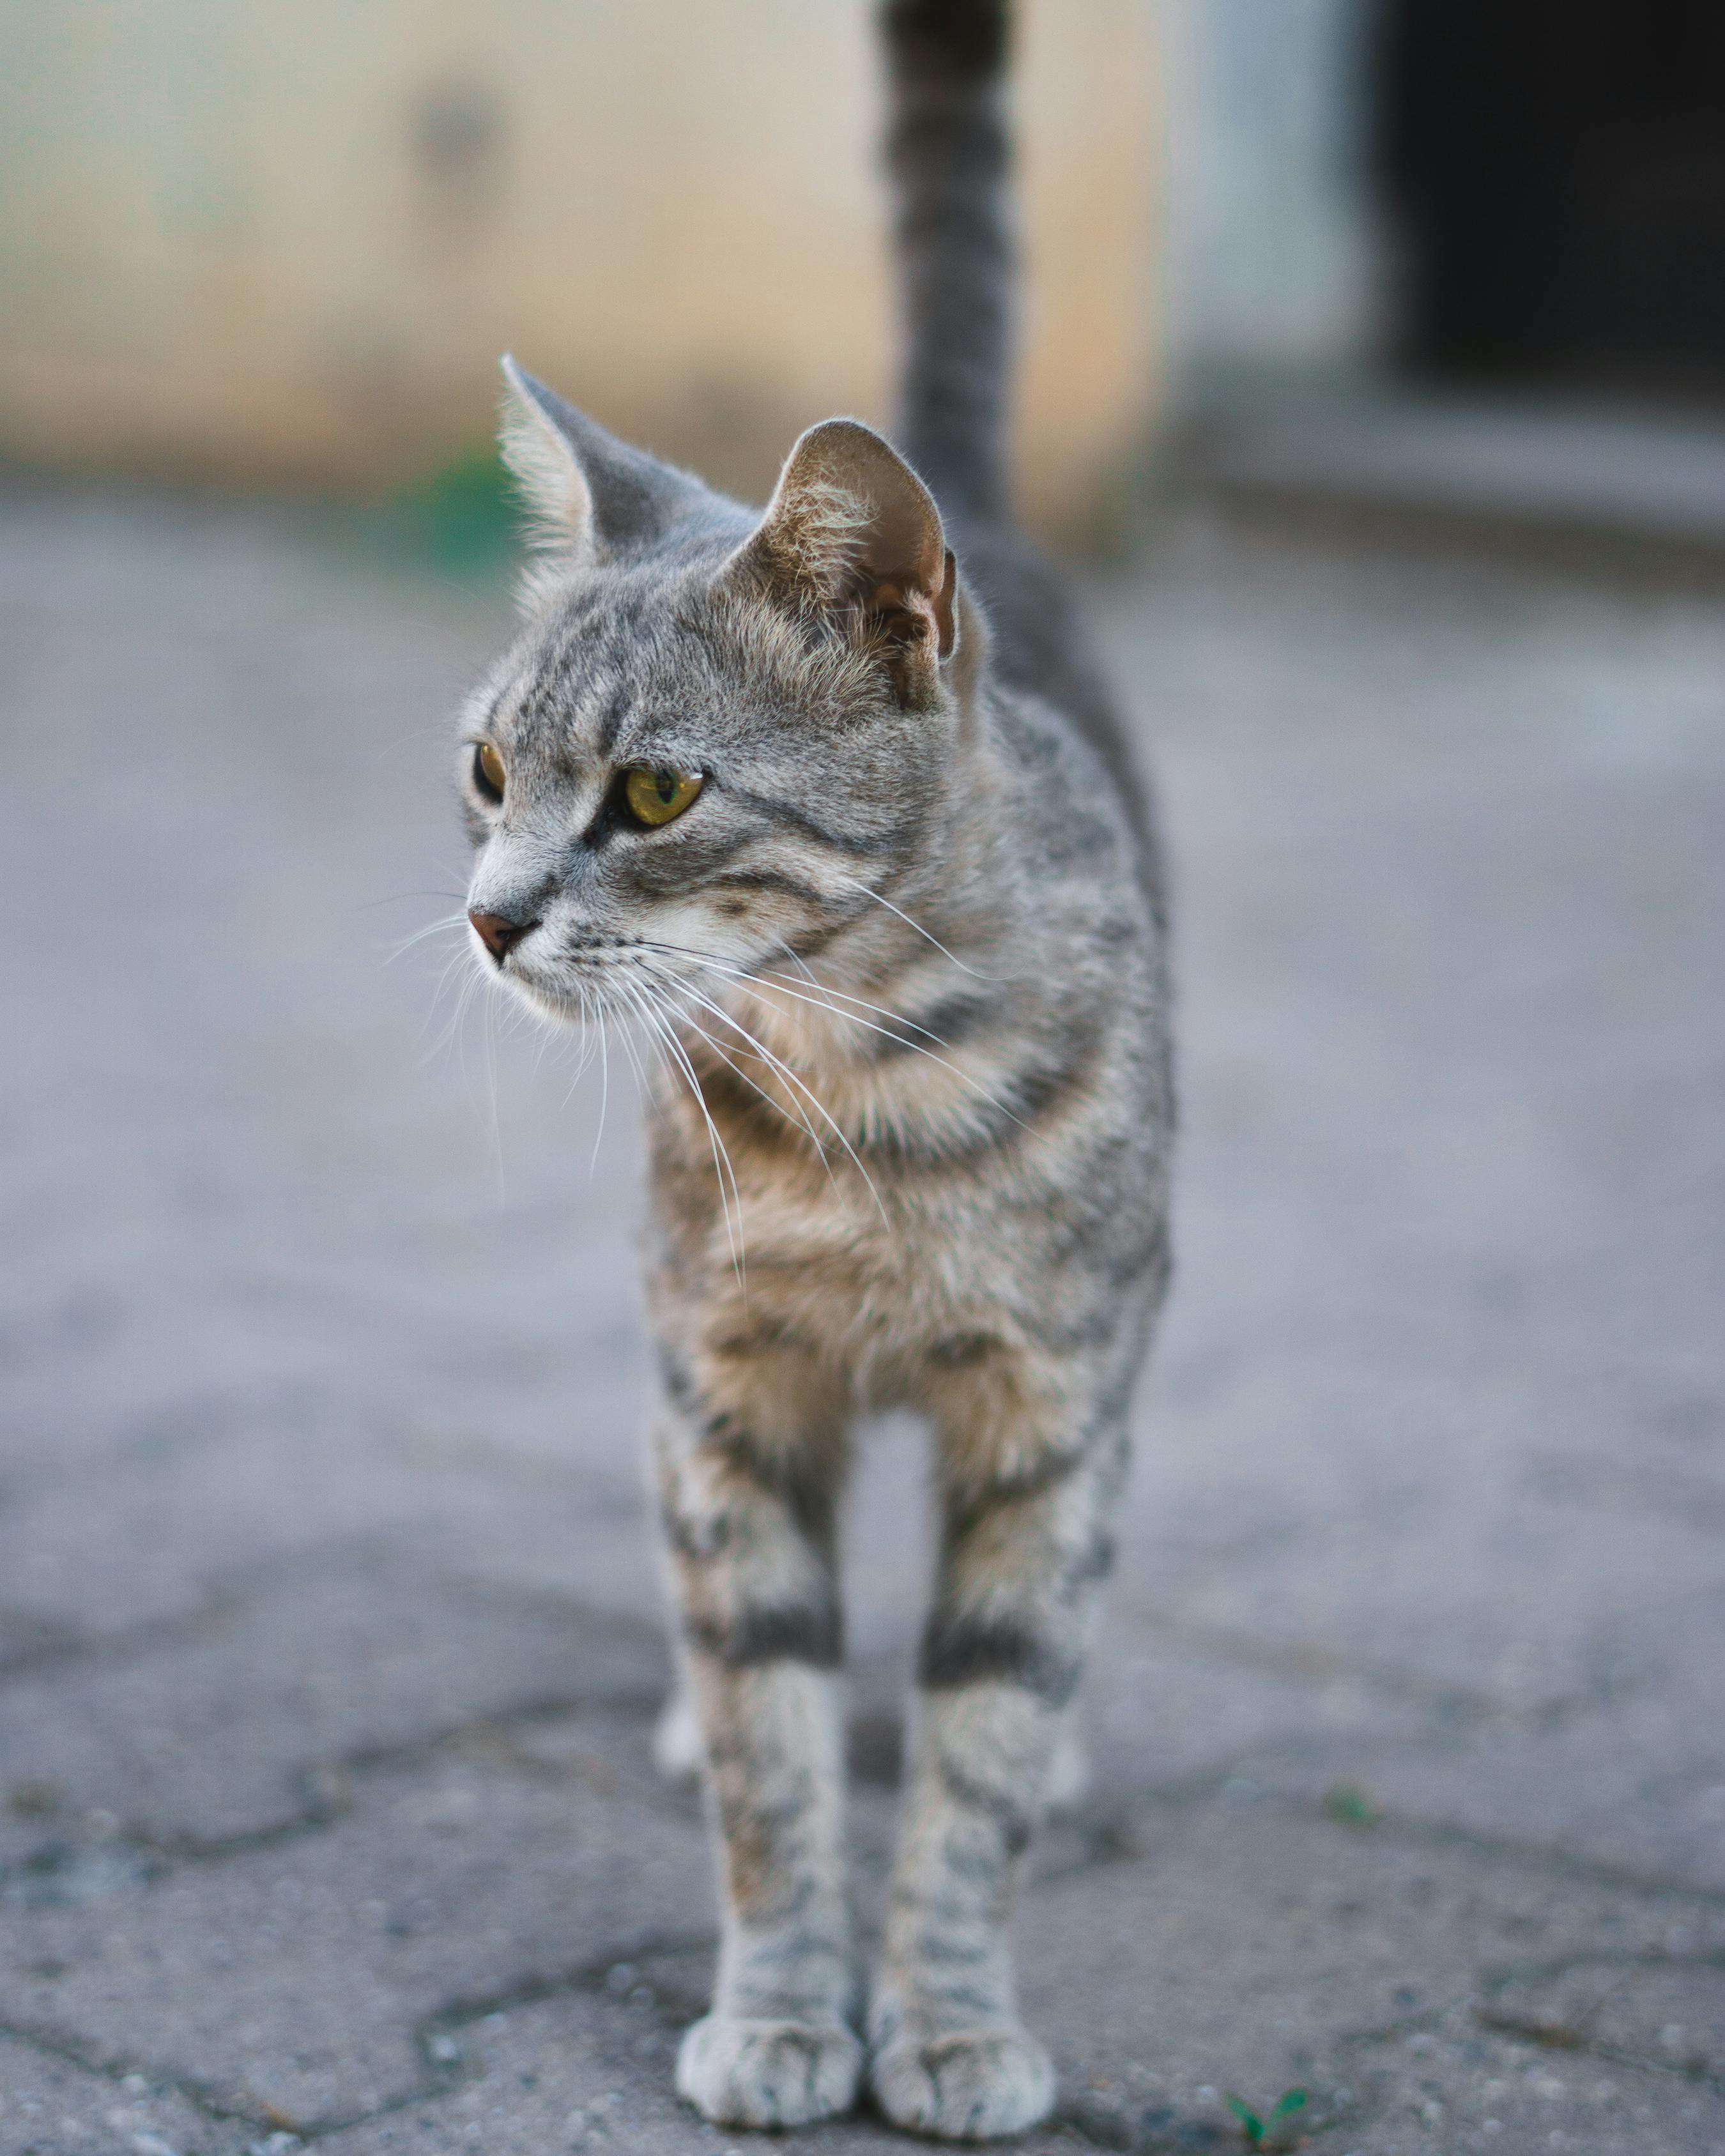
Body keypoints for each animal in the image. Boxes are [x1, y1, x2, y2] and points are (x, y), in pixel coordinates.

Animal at [457, 0, 1173, 2130]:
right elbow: (774, 1738)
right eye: (489, 770)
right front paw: (784, 2004)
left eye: (656, 793)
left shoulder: (1051, 1407)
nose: (488, 915)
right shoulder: (726, 1392)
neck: (876, 1113)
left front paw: (947, 2017)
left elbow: (978, 1751)